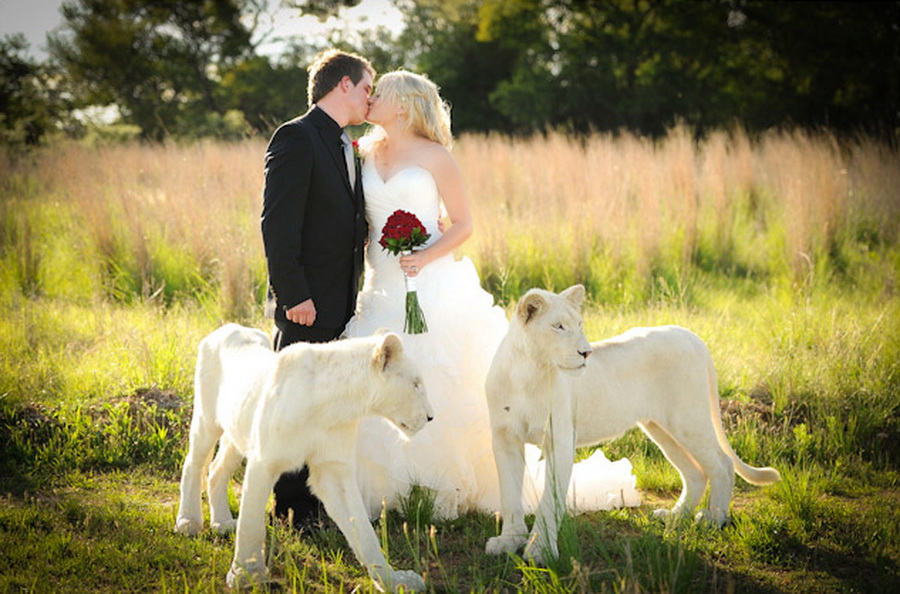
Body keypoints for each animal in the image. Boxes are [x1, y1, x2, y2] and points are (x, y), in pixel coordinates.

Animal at [174, 322, 434, 588]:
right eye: (415, 384)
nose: (431, 417)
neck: (338, 406)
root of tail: (229, 326)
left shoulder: (333, 468)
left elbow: (363, 529)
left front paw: (394, 581)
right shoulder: (264, 461)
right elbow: (251, 524)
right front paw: (246, 574)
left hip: (238, 431)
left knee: (217, 470)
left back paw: (223, 523)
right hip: (206, 420)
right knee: (193, 464)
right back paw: (188, 522)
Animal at [486, 284, 780, 560]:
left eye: (579, 324)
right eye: (558, 326)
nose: (586, 353)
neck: (527, 372)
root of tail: (689, 334)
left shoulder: (560, 438)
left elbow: (549, 501)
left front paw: (541, 551)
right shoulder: (504, 438)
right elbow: (509, 493)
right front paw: (509, 540)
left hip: (687, 420)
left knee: (722, 464)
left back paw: (713, 519)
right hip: (661, 428)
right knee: (696, 472)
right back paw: (676, 516)